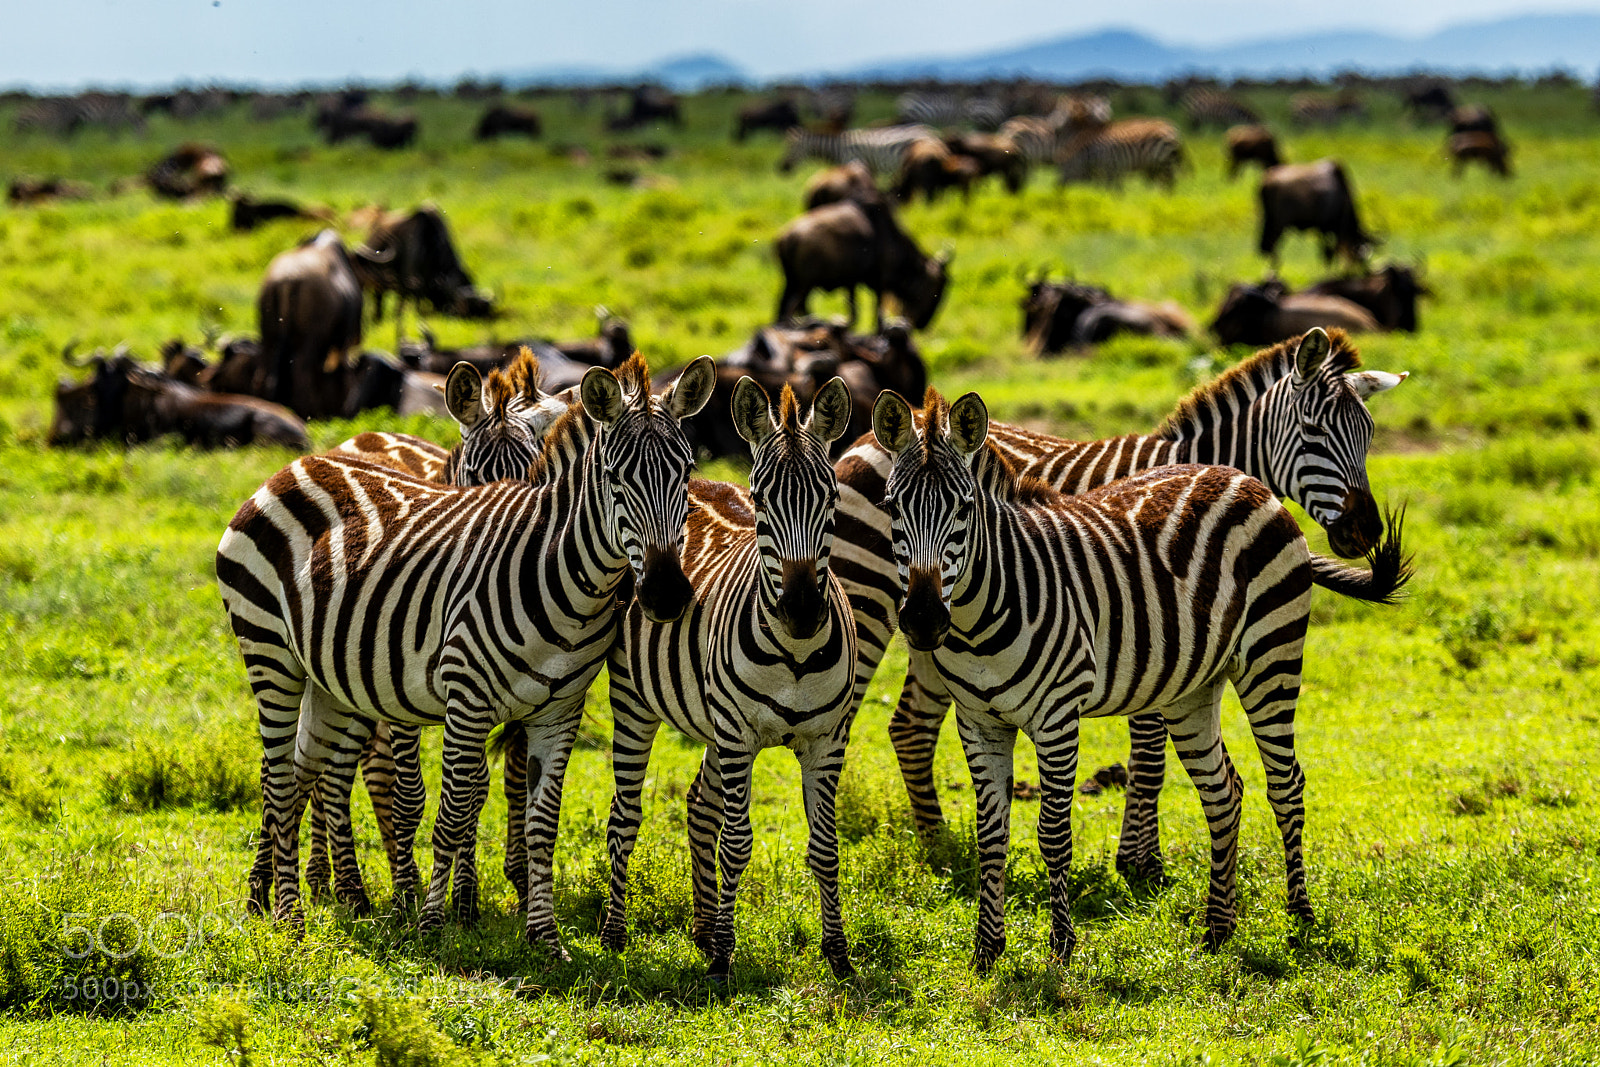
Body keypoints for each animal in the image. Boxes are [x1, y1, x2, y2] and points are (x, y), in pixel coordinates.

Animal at [216, 353, 715, 952]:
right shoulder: (465, 695)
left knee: (304, 772)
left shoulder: (558, 710)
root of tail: (296, 465)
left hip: (328, 676)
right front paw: (429, 919)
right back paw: (289, 916)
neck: (562, 578)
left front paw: (543, 936)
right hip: (270, 650)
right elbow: (449, 810)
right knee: (278, 778)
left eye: (686, 473)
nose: (665, 595)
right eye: (615, 477)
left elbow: (540, 820)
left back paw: (271, 899)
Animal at [600, 376, 858, 979]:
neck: (796, 654)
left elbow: (826, 847)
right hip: (636, 704)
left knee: (699, 803)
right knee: (624, 816)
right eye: (762, 499)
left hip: (715, 723)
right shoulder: (740, 735)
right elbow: (737, 842)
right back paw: (617, 934)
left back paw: (700, 929)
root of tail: (699, 483)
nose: (802, 612)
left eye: (832, 499)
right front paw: (723, 959)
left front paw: (836, 954)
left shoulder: (826, 741)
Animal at [830, 328, 1409, 880]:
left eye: (1369, 435)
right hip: (870, 600)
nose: (1365, 531)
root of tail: (863, 438)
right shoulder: (1146, 629)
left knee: (910, 725)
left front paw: (1139, 854)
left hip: (929, 630)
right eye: (1313, 432)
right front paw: (1139, 861)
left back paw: (938, 844)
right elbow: (1149, 752)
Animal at [1057, 118, 1186, 189]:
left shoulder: (1110, 167)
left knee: (1170, 183)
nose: (1057, 187)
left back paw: (1167, 201)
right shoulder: (1111, 170)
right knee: (1162, 183)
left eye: (1066, 167)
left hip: (1165, 161)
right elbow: (1109, 189)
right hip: (1155, 165)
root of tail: (1172, 128)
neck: (1091, 153)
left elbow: (1111, 189)